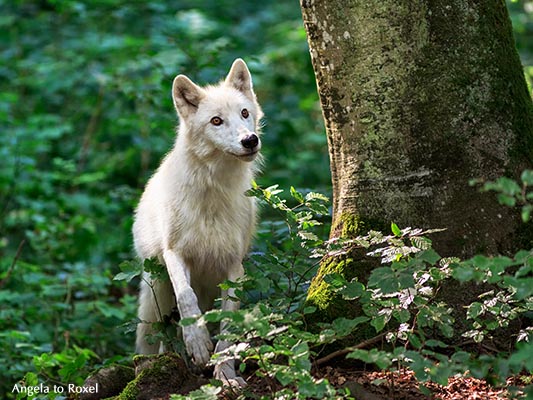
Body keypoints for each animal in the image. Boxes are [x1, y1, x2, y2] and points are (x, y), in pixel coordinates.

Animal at [133, 58, 262, 384]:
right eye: (216, 121)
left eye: (244, 113)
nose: (250, 140)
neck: (214, 190)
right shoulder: (175, 253)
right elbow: (187, 297)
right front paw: (199, 345)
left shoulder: (234, 265)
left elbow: (228, 324)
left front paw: (225, 373)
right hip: (156, 292)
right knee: (158, 334)